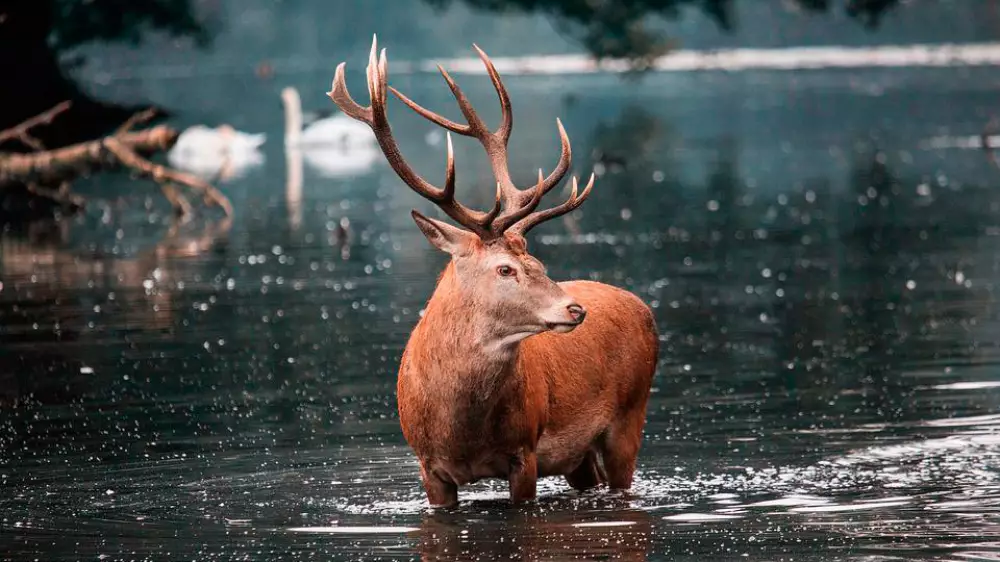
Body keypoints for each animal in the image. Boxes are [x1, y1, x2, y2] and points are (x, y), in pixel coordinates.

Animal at [324, 37, 660, 506]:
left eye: (539, 263)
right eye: (505, 269)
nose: (575, 310)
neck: (461, 433)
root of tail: (642, 307)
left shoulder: (525, 451)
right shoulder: (427, 467)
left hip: (631, 414)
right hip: (579, 456)